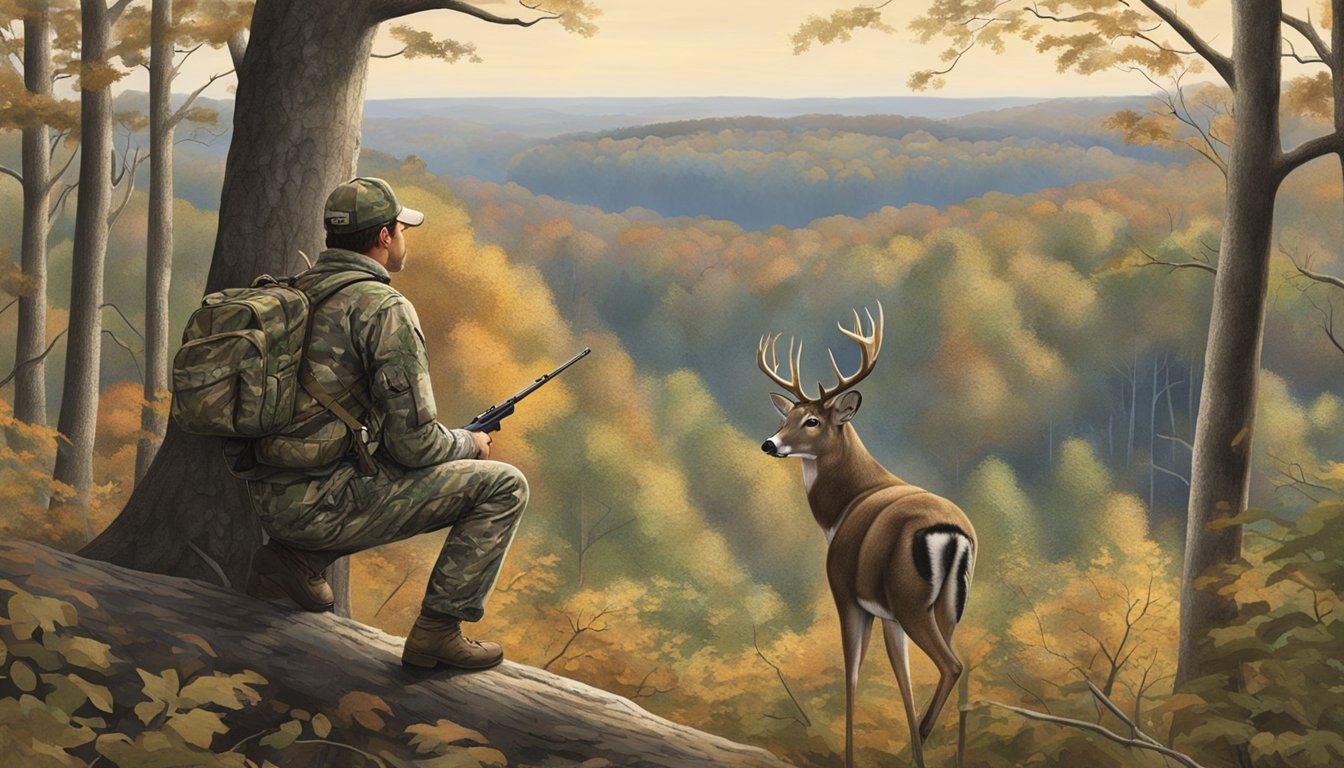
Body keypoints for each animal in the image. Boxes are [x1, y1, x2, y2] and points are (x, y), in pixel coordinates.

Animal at [758, 305, 978, 768]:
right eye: (785, 417)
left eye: (812, 420)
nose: (769, 443)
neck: (842, 508)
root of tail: (954, 534)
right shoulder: (888, 612)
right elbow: (901, 678)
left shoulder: (846, 591)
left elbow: (852, 674)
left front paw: (850, 755)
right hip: (947, 606)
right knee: (948, 665)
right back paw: (925, 740)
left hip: (911, 599)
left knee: (951, 665)